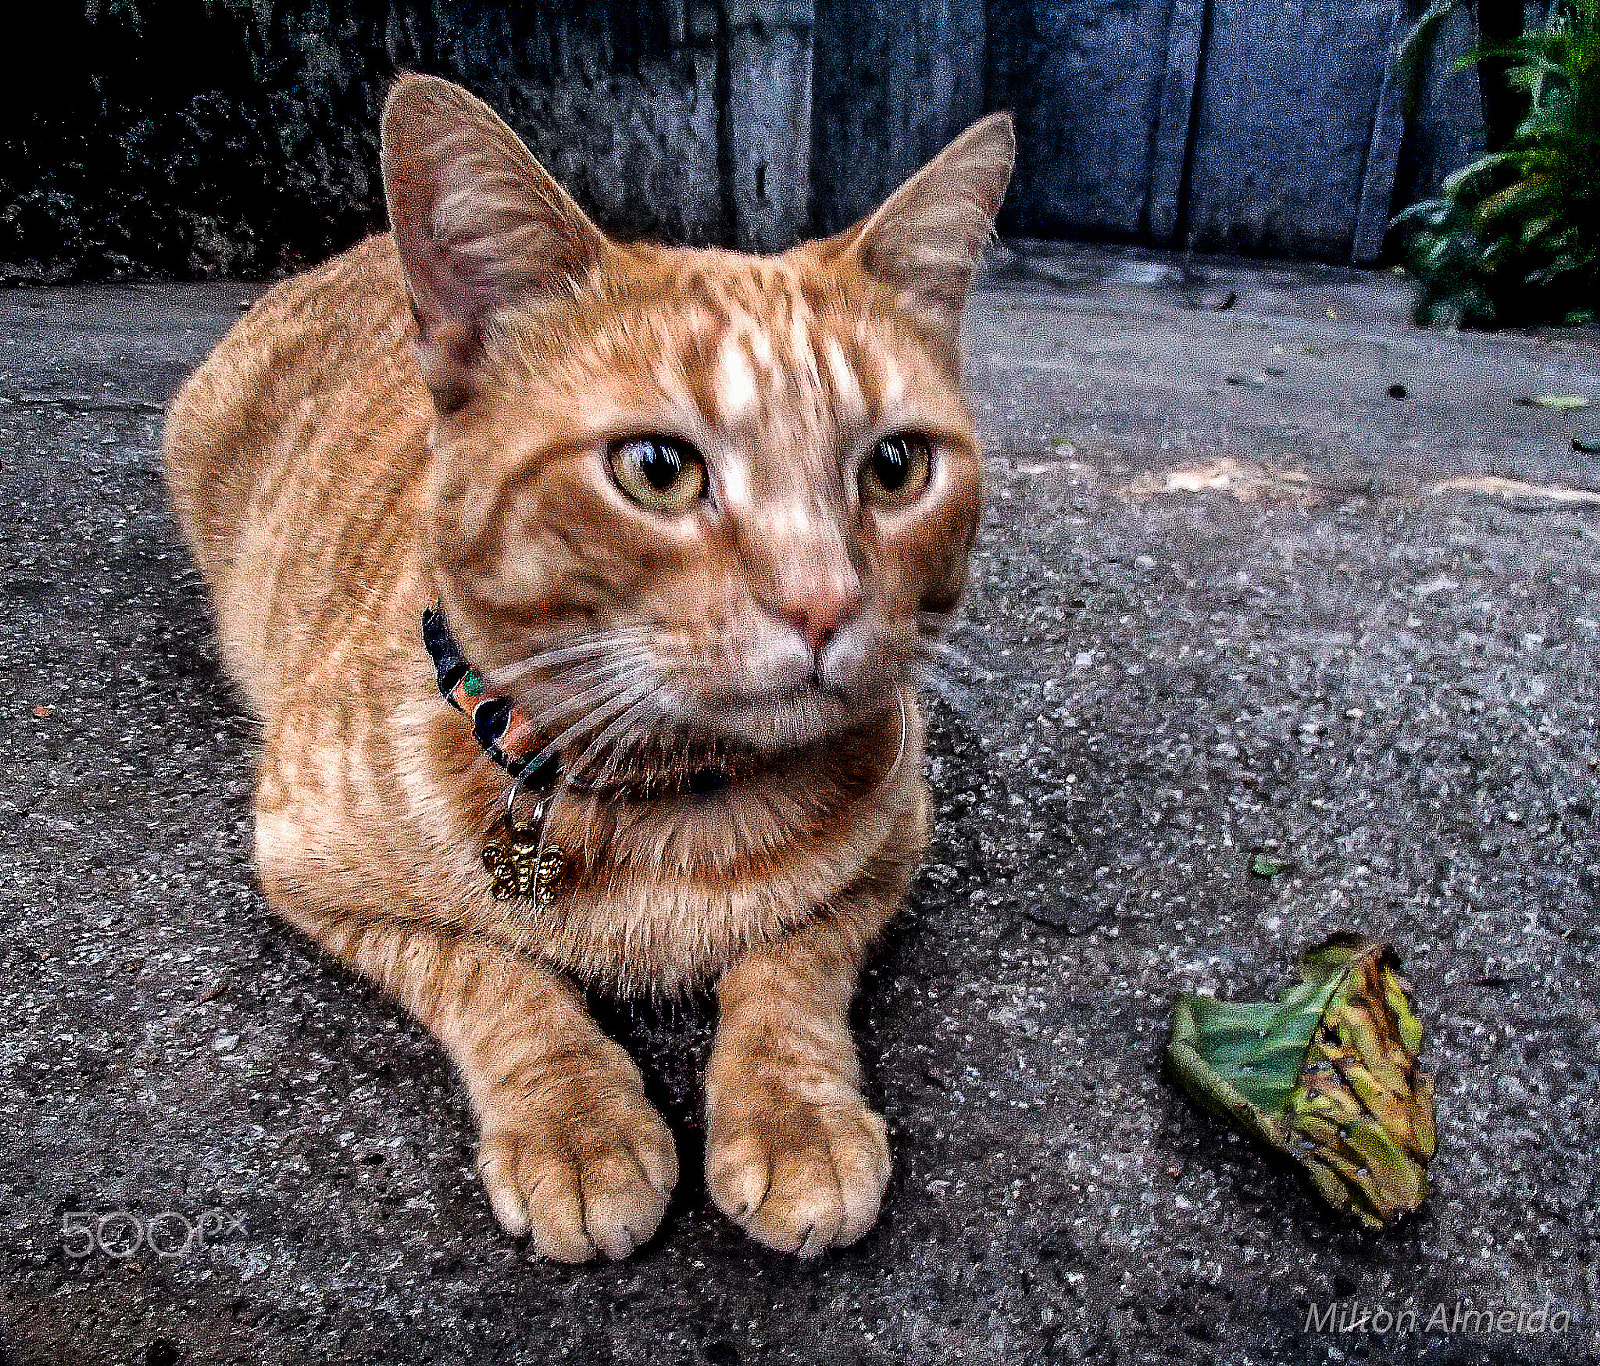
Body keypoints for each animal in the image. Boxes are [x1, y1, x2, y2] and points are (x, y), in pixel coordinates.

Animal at [162, 74, 1011, 1266]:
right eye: (657, 469)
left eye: (895, 466)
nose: (824, 603)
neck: (663, 799)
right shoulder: (308, 865)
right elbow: (495, 970)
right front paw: (576, 1120)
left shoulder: (891, 851)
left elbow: (791, 965)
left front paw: (795, 1113)